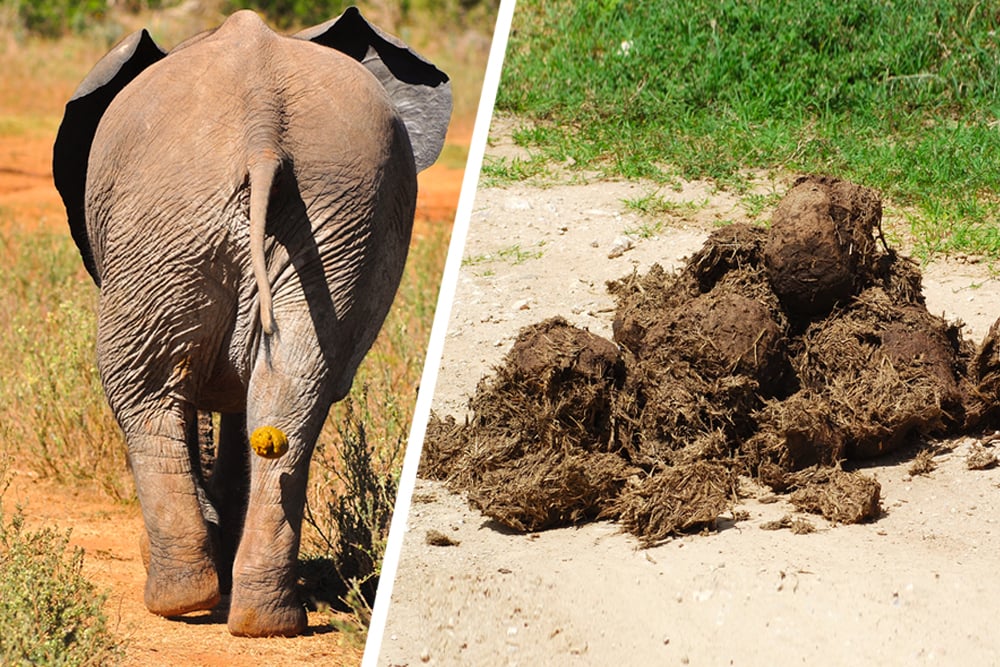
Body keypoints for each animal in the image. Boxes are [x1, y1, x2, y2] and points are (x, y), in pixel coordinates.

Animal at [52, 7, 451, 637]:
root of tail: (264, 131)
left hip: (170, 216)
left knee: (142, 389)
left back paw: (180, 599)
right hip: (327, 213)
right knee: (291, 394)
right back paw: (266, 620)